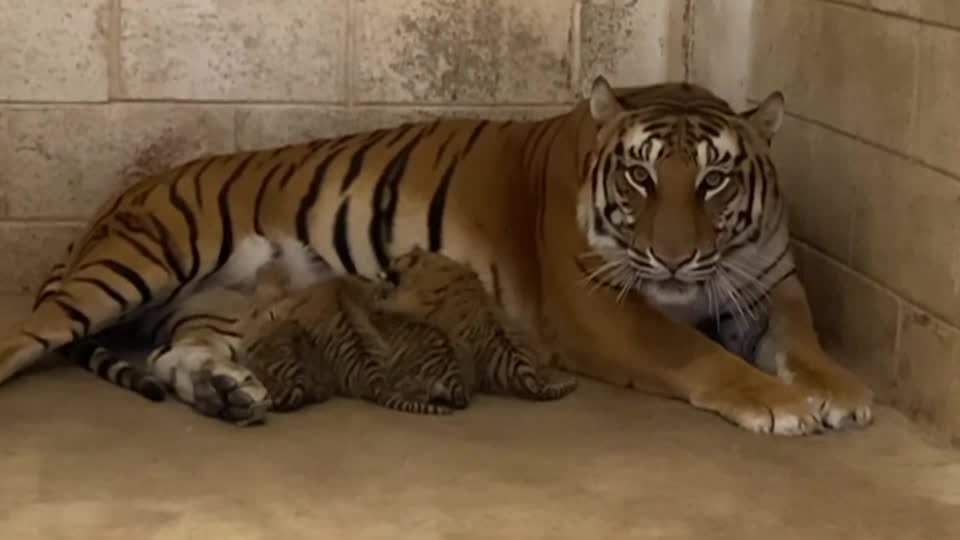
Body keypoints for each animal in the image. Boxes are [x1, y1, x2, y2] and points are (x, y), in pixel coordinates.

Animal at [0, 77, 872, 434]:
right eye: (640, 175)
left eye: (717, 180)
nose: (675, 260)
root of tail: (111, 203)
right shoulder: (600, 308)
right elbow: (700, 355)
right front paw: (780, 405)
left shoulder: (771, 283)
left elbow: (804, 344)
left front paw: (840, 392)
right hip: (132, 266)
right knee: (22, 337)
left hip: (217, 305)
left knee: (180, 353)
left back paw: (227, 394)